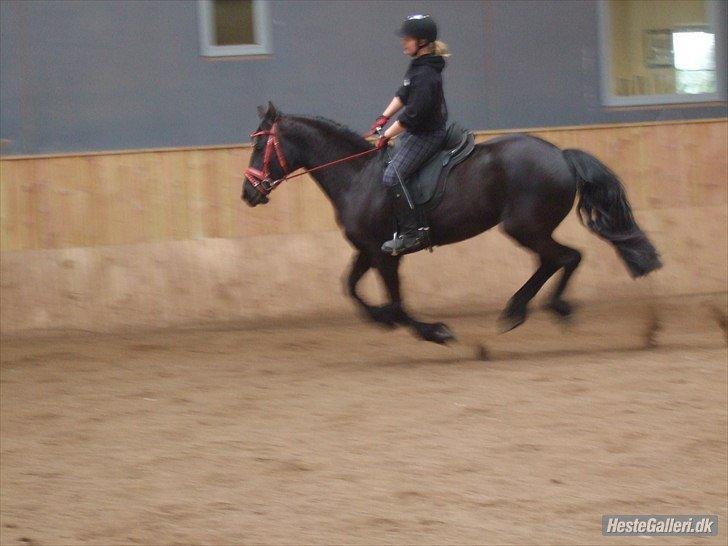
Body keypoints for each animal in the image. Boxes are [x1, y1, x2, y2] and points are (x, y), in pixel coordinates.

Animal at [242, 101, 664, 340]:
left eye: (261, 144)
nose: (248, 193)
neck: (357, 176)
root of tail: (560, 155)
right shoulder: (368, 249)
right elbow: (350, 287)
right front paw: (382, 319)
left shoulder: (385, 253)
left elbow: (395, 302)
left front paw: (433, 330)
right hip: (529, 228)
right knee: (555, 260)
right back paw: (518, 310)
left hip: (524, 227)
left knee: (565, 258)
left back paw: (540, 308)